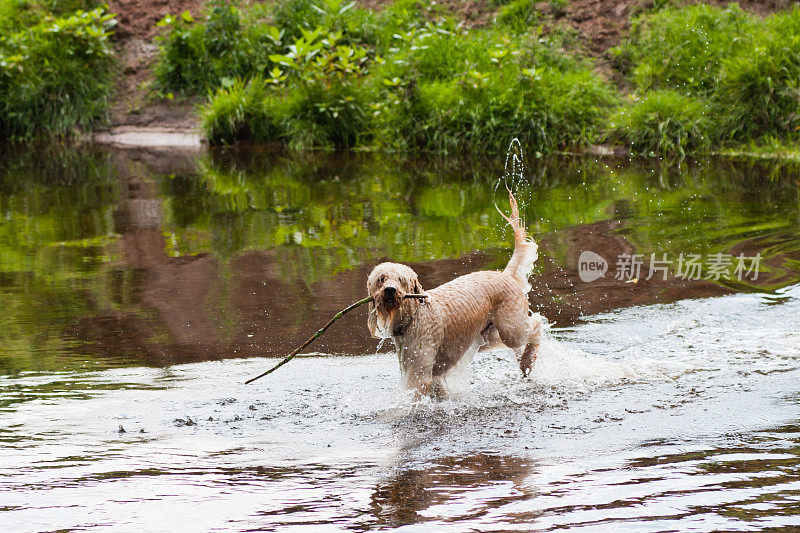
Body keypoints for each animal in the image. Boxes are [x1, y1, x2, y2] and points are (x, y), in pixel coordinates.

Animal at [368, 190, 544, 394]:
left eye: (401, 280)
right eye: (381, 278)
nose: (390, 290)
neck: (415, 315)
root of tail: (505, 274)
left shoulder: (419, 374)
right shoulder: (432, 374)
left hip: (510, 328)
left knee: (536, 326)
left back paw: (527, 361)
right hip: (489, 335)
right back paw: (523, 362)